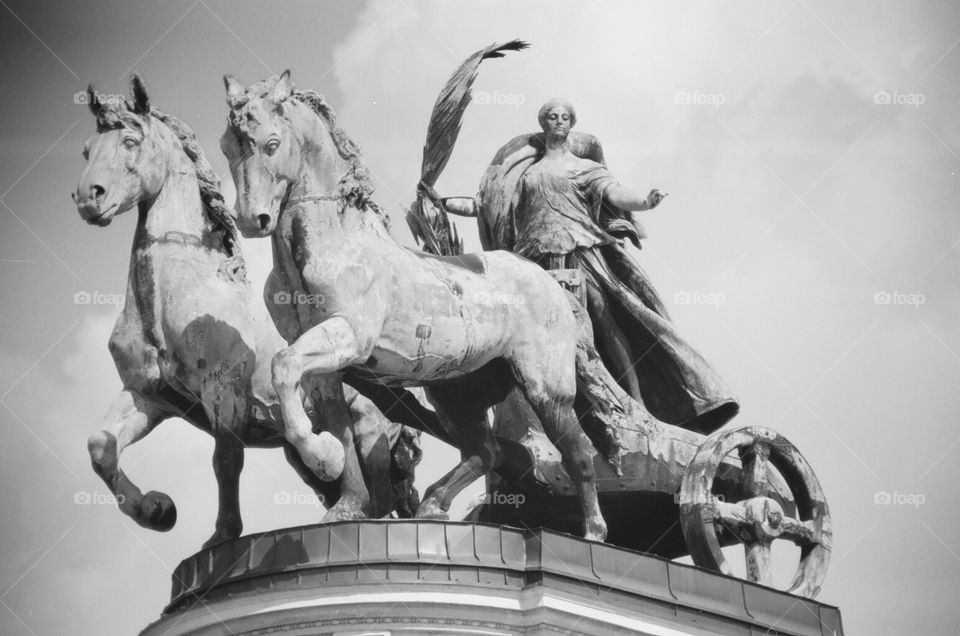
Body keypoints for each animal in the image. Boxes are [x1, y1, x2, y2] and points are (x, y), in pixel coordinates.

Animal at [221, 72, 604, 540]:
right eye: (227, 145)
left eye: (272, 143)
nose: (250, 220)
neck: (336, 242)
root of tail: (550, 283)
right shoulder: (327, 364)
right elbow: (337, 423)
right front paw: (347, 505)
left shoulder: (348, 336)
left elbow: (283, 367)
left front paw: (322, 458)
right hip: (456, 392)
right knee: (487, 452)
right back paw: (434, 503)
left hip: (546, 387)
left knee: (578, 452)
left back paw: (593, 532)